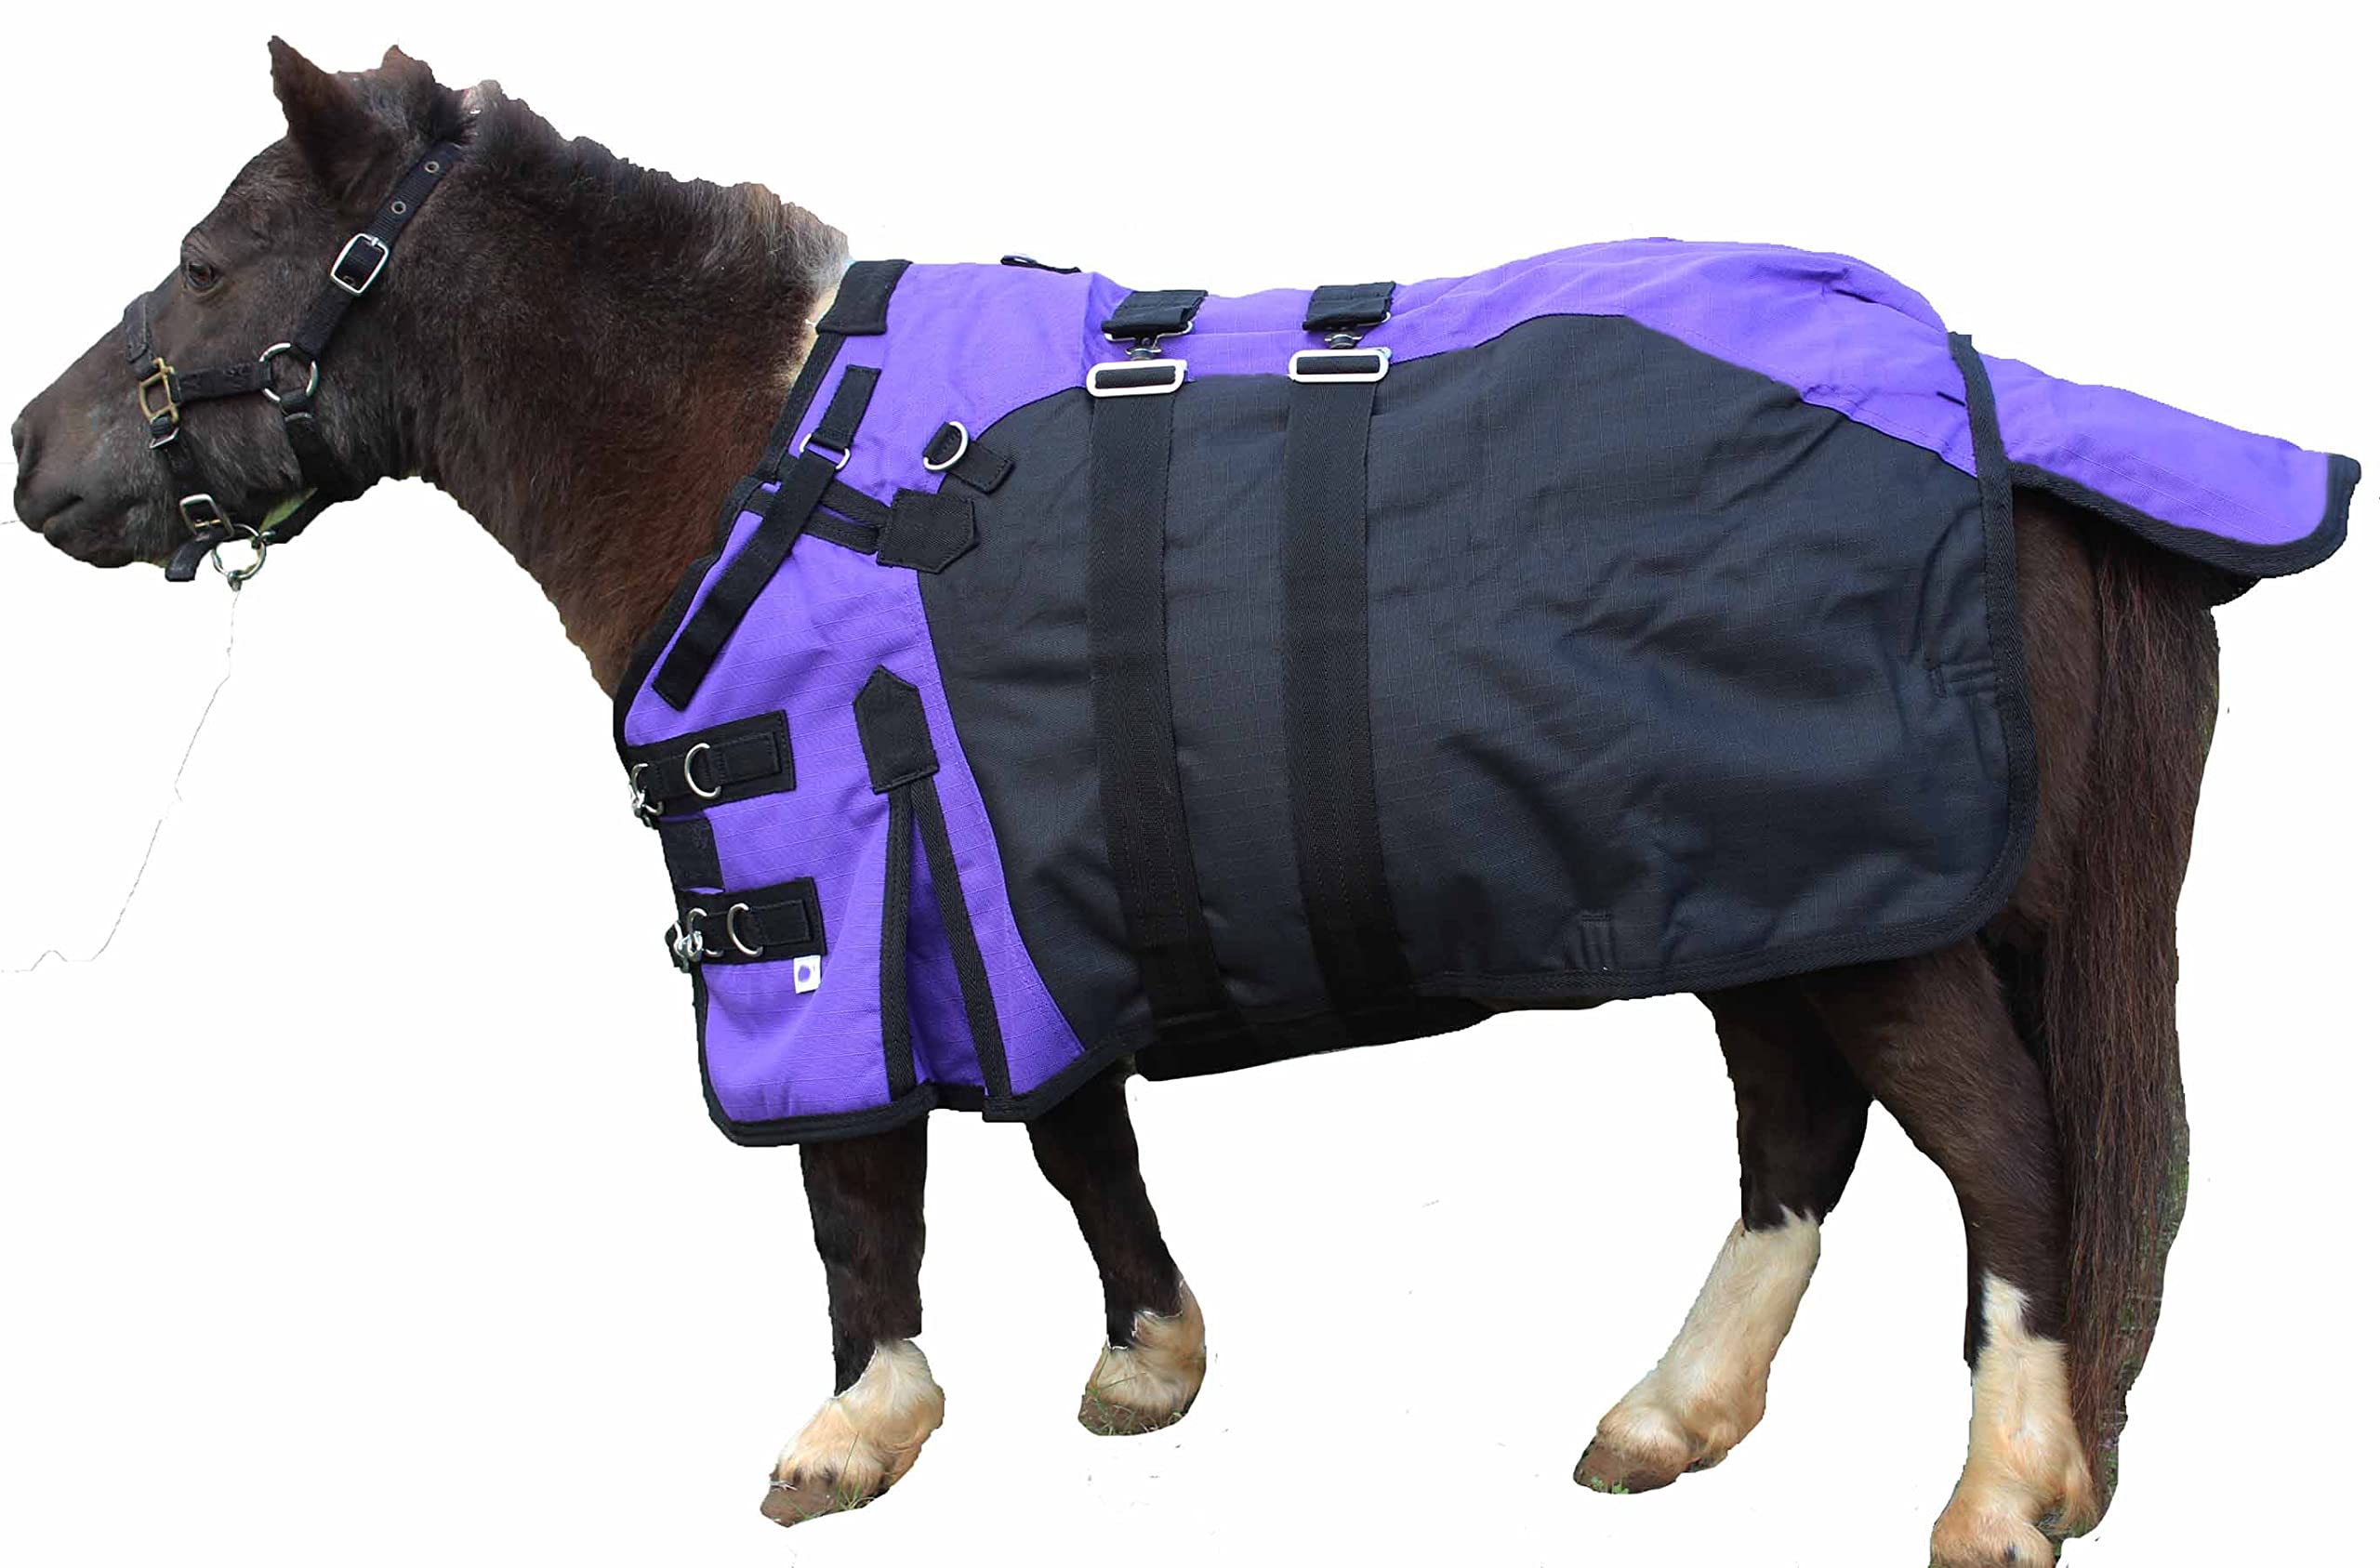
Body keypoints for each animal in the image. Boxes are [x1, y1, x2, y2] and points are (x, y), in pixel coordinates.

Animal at [8, 40, 2289, 1567]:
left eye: (212, 261)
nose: (37, 460)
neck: (754, 441)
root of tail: (1999, 409)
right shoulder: (1011, 875)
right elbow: (1073, 1136)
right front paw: (1147, 1360)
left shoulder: (825, 888)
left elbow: (859, 1186)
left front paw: (856, 1430)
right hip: (1766, 895)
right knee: (1796, 1145)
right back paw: (1675, 1415)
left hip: (1876, 912)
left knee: (2003, 1156)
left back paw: (2005, 1481)